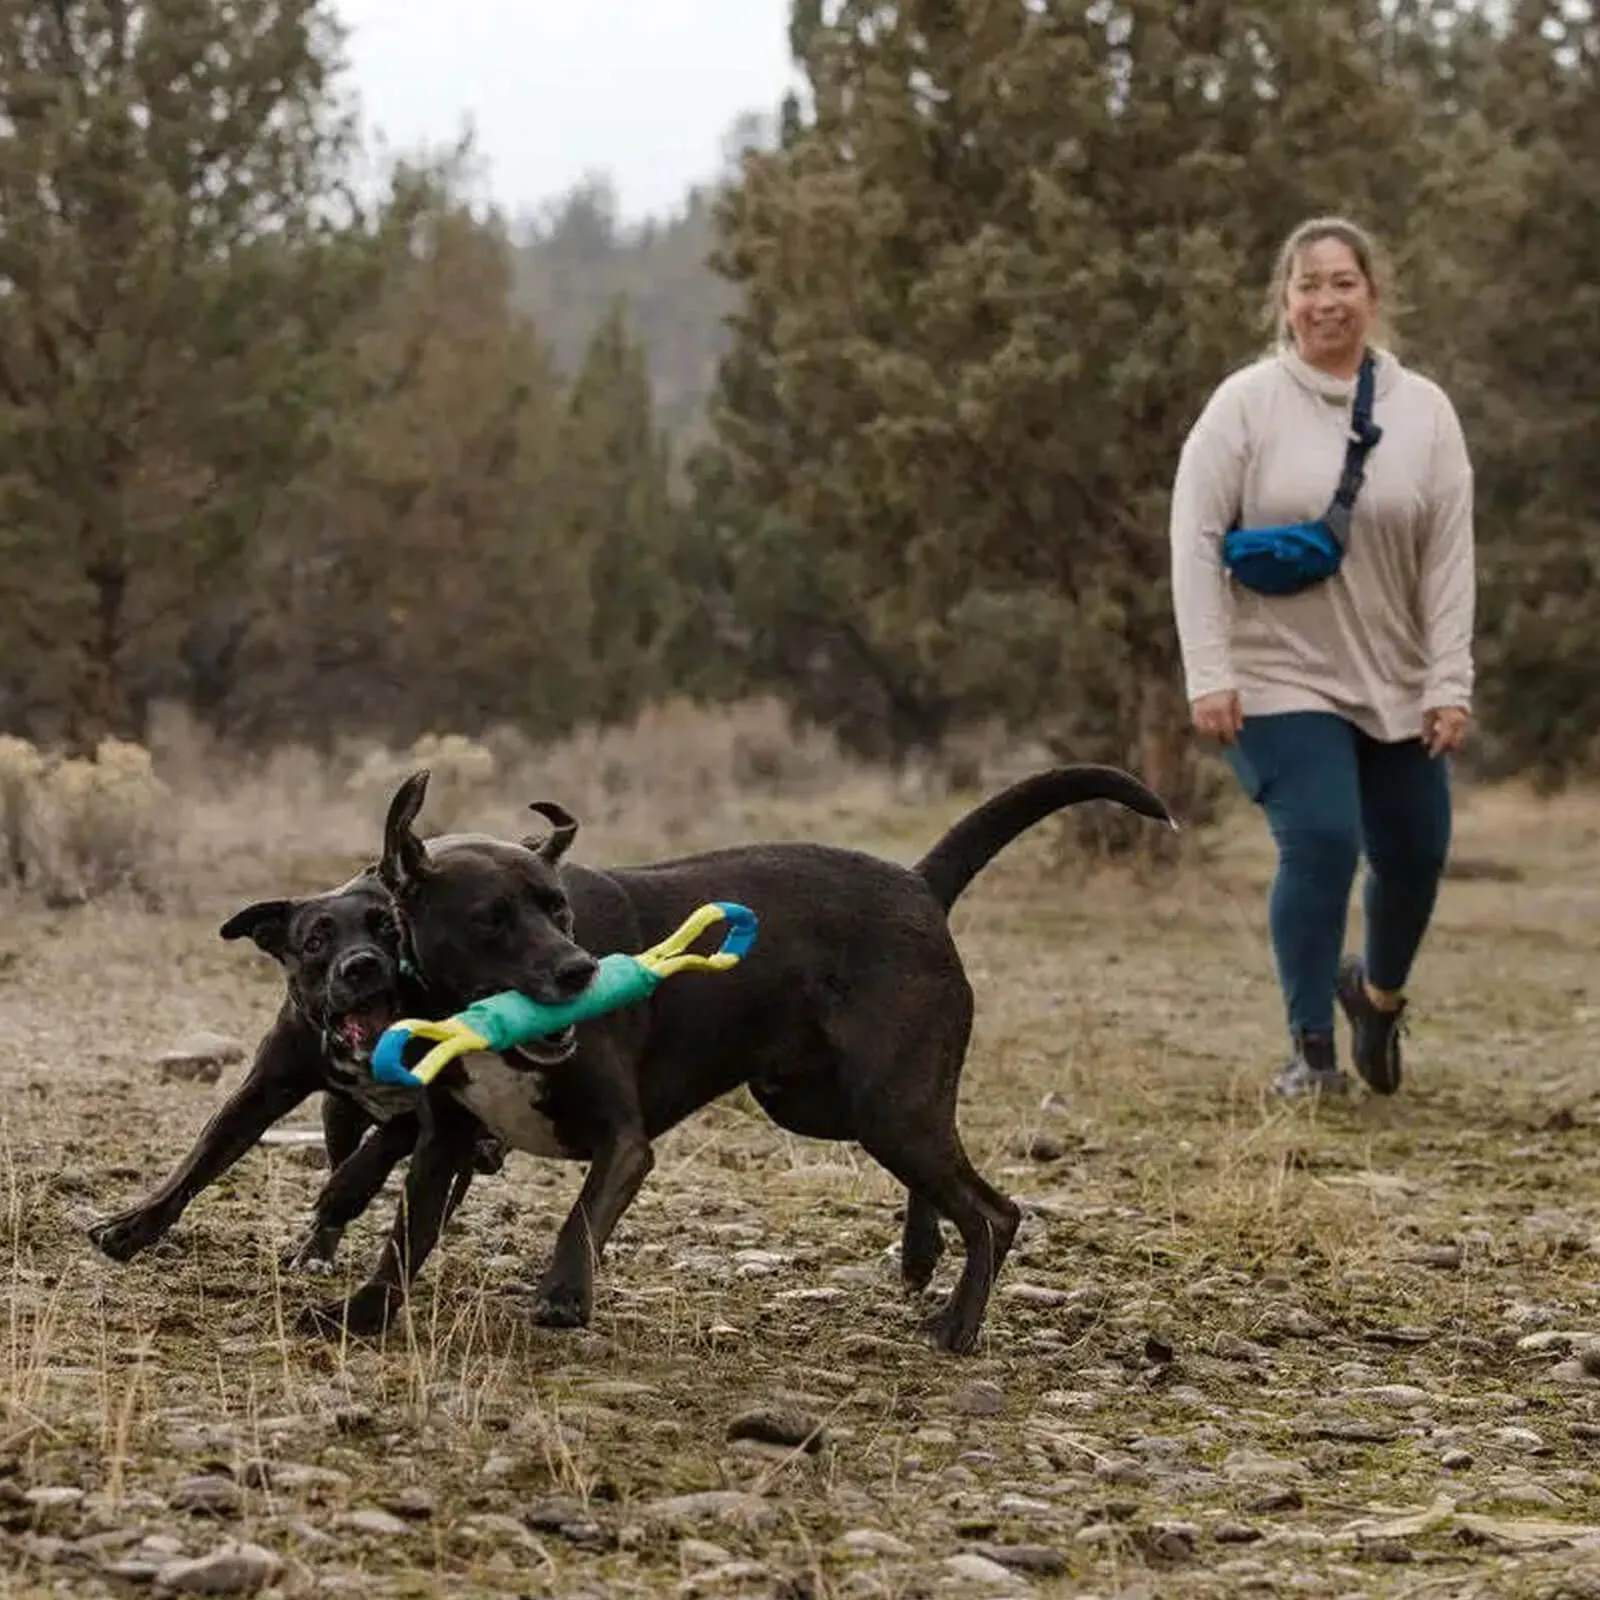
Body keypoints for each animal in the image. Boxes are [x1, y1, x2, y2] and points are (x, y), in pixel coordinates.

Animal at [305, 761, 1171, 1350]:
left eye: (560, 910)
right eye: (490, 919)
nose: (581, 972)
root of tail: (919, 884)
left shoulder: (624, 1144)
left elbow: (580, 1218)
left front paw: (563, 1296)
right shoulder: (444, 1143)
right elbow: (405, 1236)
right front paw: (363, 1311)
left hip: (888, 1105)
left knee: (994, 1210)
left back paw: (958, 1323)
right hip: (828, 1107)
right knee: (945, 1183)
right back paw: (921, 1254)